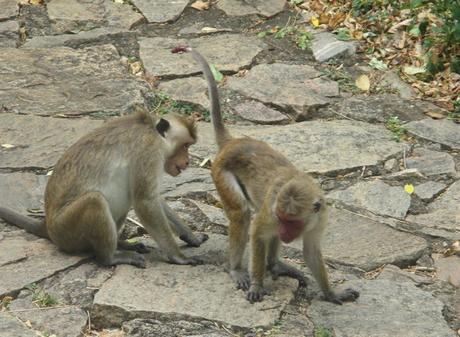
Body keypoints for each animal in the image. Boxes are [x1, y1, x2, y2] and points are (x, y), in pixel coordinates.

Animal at [0, 105, 208, 268]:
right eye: (185, 146)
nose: (187, 161)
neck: (151, 129)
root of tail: (48, 226)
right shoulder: (148, 151)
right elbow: (146, 201)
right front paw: (178, 257)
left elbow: (153, 198)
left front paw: (191, 237)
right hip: (66, 230)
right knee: (95, 200)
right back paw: (110, 258)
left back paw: (122, 244)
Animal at [172, 46, 360, 302]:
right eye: (283, 219)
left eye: (292, 221)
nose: (284, 231)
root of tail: (232, 142)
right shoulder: (271, 214)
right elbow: (257, 233)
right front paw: (257, 284)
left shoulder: (320, 217)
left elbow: (311, 250)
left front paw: (332, 293)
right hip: (220, 172)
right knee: (241, 215)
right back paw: (236, 268)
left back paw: (275, 264)